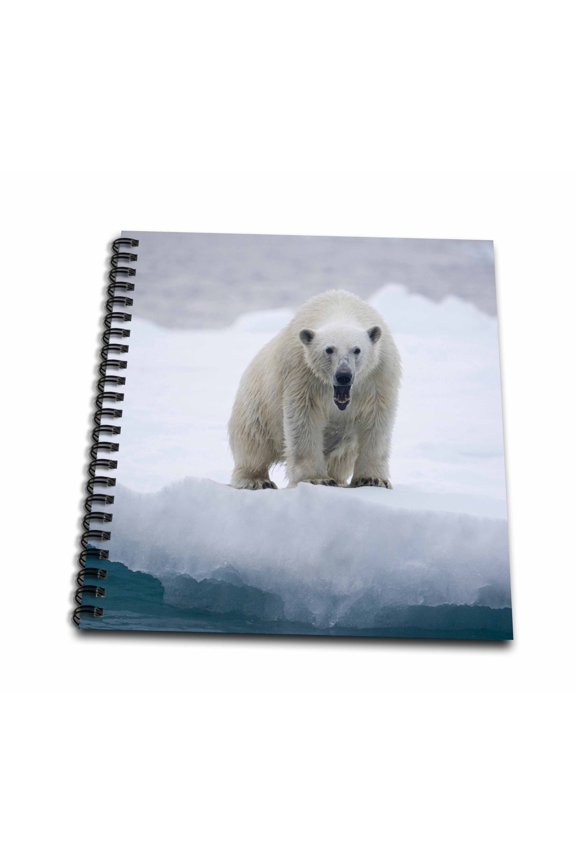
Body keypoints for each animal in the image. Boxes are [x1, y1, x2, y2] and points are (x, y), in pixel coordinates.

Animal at [228, 290, 401, 489]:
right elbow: (304, 419)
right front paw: (316, 478)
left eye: (357, 350)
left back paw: (339, 479)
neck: (341, 308)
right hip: (257, 405)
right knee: (254, 442)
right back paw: (257, 480)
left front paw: (372, 479)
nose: (343, 375)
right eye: (329, 349)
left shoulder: (379, 375)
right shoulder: (301, 372)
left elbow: (377, 421)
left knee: (342, 456)